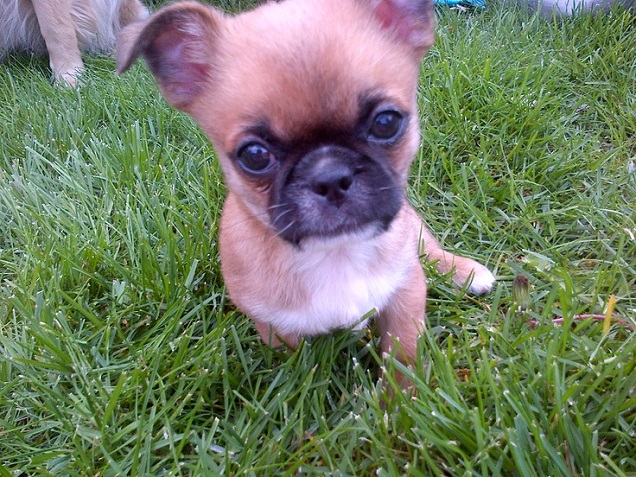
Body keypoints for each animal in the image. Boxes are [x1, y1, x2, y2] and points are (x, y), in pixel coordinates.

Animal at [117, 0, 496, 364]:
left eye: (387, 122)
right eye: (254, 155)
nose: (330, 177)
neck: (336, 254)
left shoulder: (406, 292)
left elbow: (403, 356)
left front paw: (403, 387)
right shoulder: (276, 329)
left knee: (427, 246)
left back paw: (465, 271)